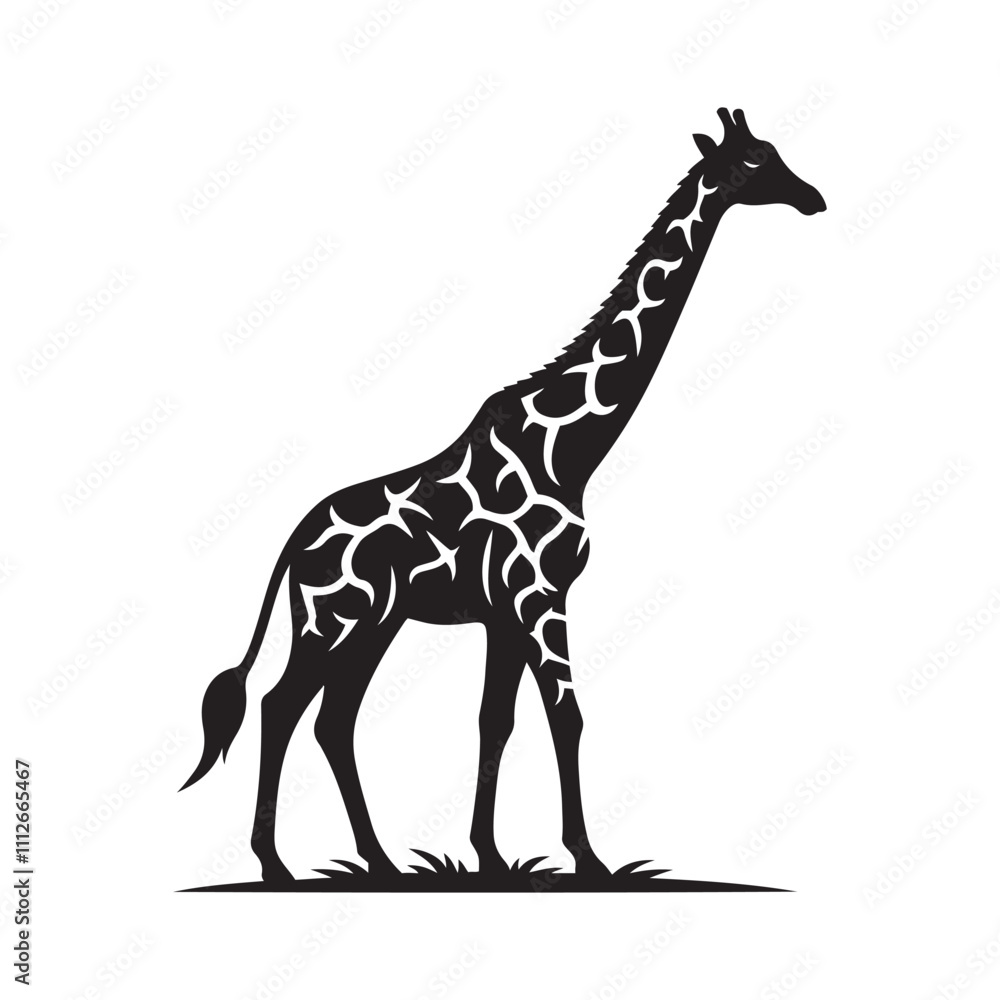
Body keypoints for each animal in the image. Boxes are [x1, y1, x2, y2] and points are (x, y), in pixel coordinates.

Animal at [181, 108, 825, 883]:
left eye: (778, 153)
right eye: (756, 162)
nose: (815, 199)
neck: (571, 451)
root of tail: (292, 544)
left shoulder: (504, 613)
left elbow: (498, 720)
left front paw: (488, 855)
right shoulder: (541, 595)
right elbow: (566, 715)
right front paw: (588, 859)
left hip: (375, 624)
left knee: (333, 719)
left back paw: (380, 861)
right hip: (333, 620)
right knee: (282, 706)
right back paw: (276, 866)